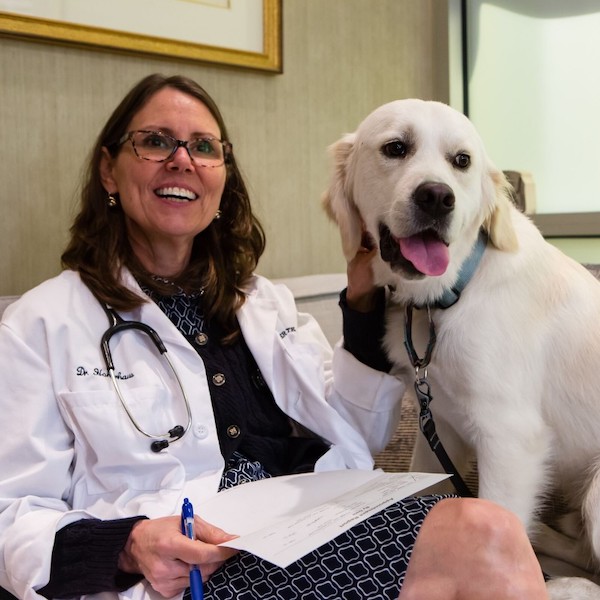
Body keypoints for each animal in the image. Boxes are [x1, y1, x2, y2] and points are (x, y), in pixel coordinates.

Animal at [326, 98, 600, 596]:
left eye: (462, 161)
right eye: (395, 148)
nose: (437, 197)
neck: (448, 297)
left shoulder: (510, 441)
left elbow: (496, 525)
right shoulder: (441, 427)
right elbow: (432, 492)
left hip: (598, 493)